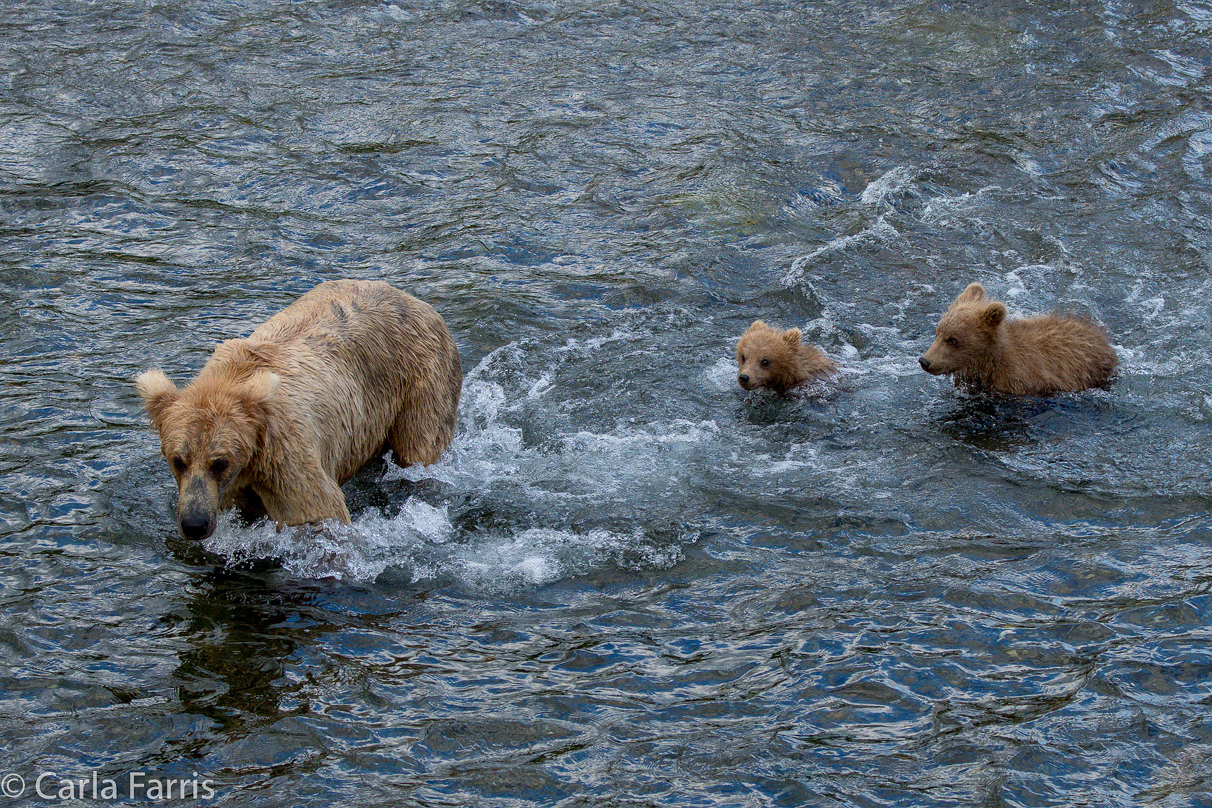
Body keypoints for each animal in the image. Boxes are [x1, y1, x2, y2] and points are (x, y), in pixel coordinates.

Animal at [135, 281, 460, 540]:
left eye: (219, 462)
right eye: (178, 460)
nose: (194, 524)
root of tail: (413, 299)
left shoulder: (284, 458)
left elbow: (319, 512)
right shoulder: (230, 492)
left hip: (421, 380)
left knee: (419, 447)